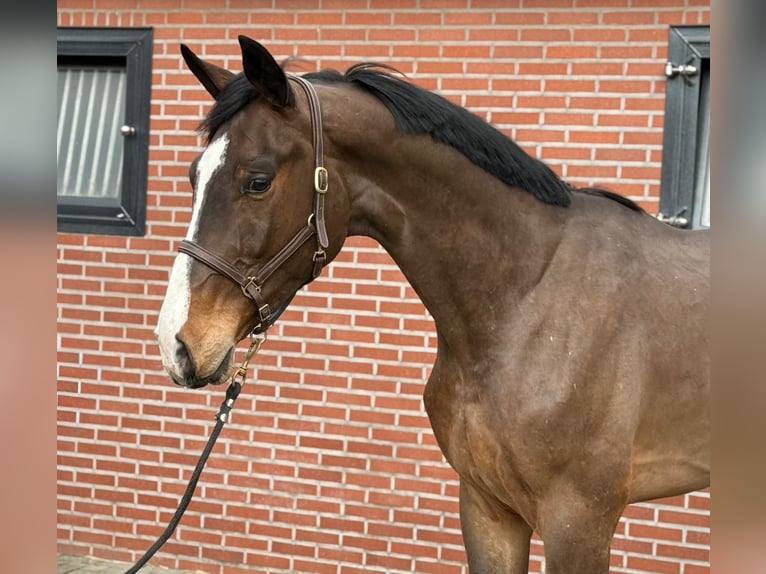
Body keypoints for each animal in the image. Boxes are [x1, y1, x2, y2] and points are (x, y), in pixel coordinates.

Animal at [155, 36, 710, 573]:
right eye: (193, 176)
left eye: (258, 180)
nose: (176, 344)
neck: (527, 297)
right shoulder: (487, 507)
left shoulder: (579, 521)